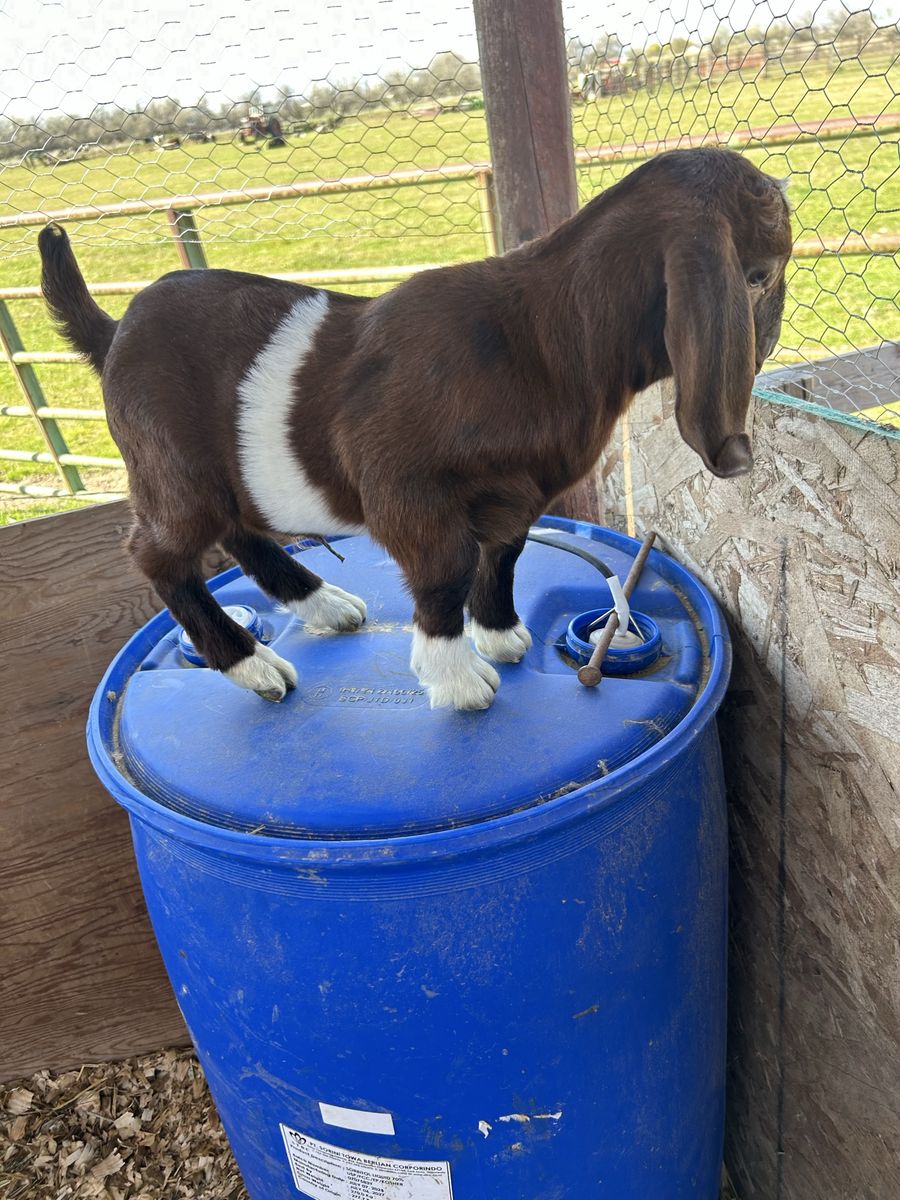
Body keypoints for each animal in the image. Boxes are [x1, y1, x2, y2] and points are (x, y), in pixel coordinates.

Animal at [39, 147, 791, 711]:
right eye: (760, 273)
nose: (772, 338)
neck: (543, 335)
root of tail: (114, 333)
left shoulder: (515, 494)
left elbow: (504, 555)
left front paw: (500, 633)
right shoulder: (405, 488)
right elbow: (445, 571)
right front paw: (457, 680)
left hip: (223, 474)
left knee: (240, 531)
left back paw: (323, 604)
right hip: (173, 471)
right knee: (160, 556)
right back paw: (253, 665)